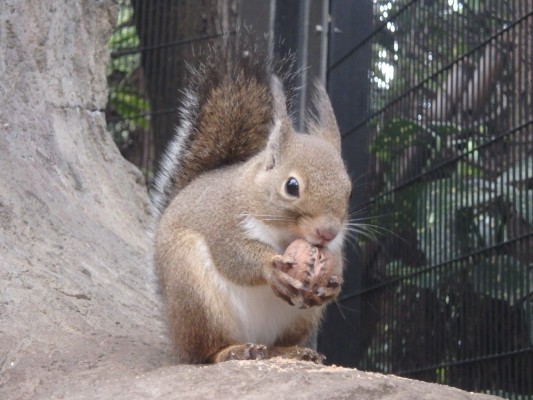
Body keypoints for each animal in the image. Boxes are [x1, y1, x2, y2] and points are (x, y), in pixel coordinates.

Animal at [152, 37, 352, 366]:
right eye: (292, 186)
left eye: (349, 191)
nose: (327, 232)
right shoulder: (224, 222)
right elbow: (234, 255)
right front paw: (270, 266)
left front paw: (333, 282)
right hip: (194, 295)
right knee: (203, 353)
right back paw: (231, 351)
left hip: (300, 320)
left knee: (276, 346)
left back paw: (295, 352)